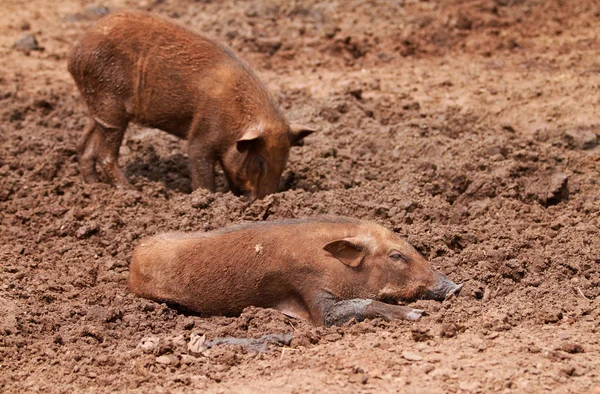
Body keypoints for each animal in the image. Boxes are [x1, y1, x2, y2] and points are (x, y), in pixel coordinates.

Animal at [68, 11, 316, 200]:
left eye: (284, 161)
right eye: (259, 161)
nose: (264, 200)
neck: (237, 119)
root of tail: (75, 53)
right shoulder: (202, 133)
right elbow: (201, 169)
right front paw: (207, 198)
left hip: (97, 107)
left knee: (84, 146)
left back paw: (93, 187)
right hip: (110, 104)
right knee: (104, 153)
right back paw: (133, 192)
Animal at [129, 217, 462, 324]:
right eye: (396, 255)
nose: (456, 287)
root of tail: (134, 254)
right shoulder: (309, 286)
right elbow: (338, 312)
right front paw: (417, 314)